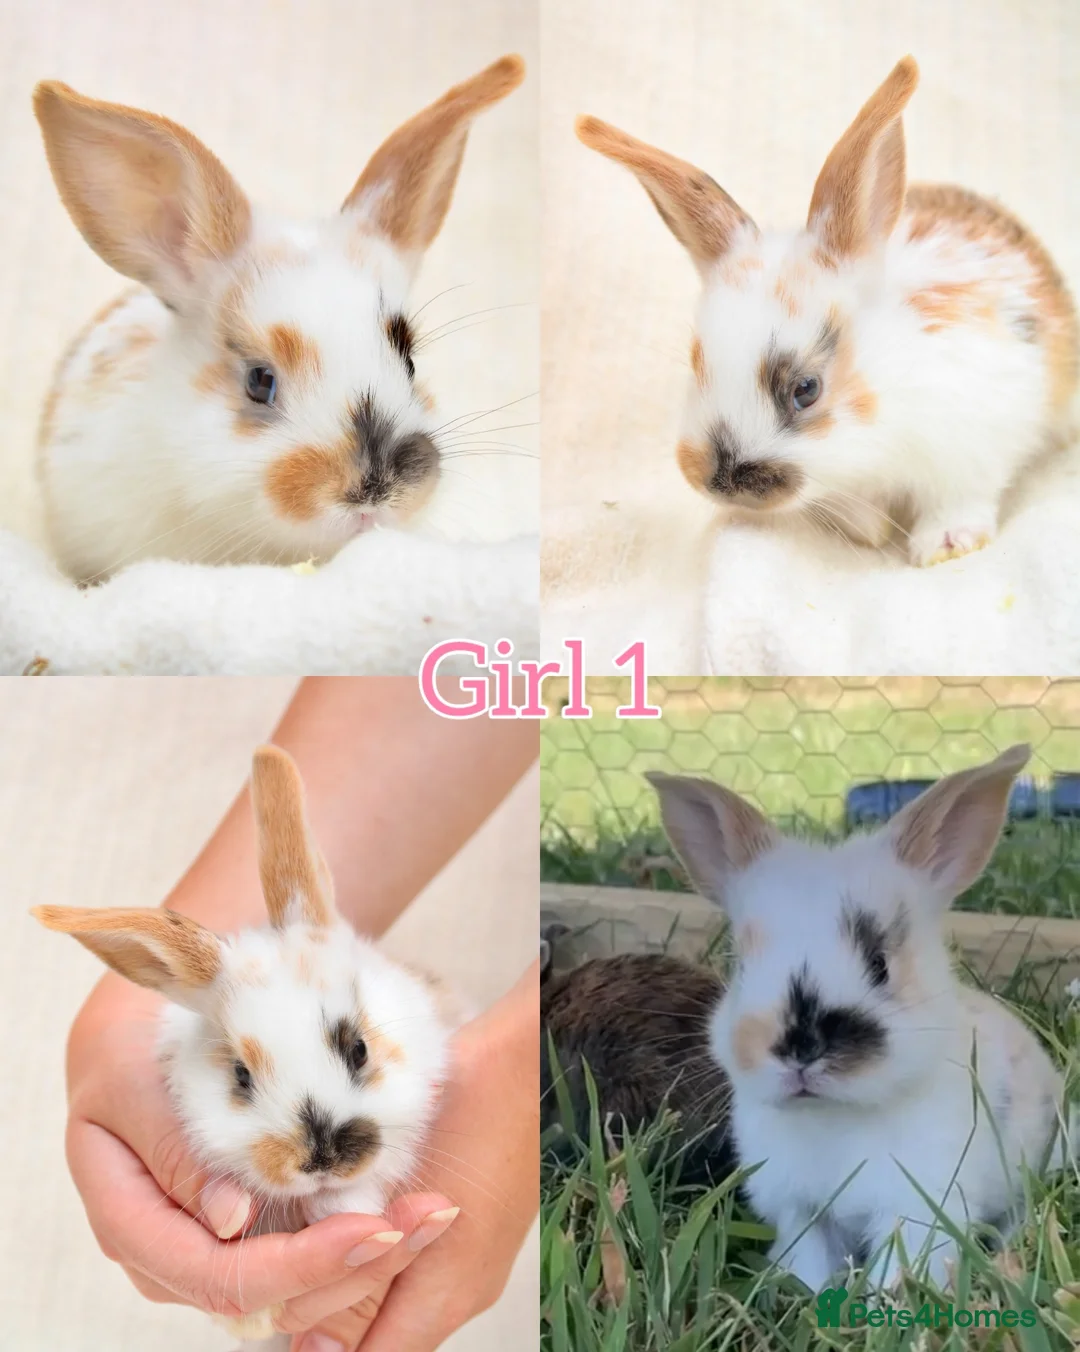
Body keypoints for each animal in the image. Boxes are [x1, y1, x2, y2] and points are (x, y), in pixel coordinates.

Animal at [577, 57, 1079, 567]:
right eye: (697, 366)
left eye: (806, 389)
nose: (722, 483)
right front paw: (868, 530)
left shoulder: (973, 444)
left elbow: (958, 499)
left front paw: (944, 545)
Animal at [648, 743, 1069, 1291]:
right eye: (740, 962)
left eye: (880, 963)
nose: (800, 1048)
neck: (833, 1114)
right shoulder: (802, 1212)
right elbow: (811, 1263)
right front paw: (808, 1296)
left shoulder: (916, 1207)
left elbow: (899, 1268)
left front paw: (885, 1303)